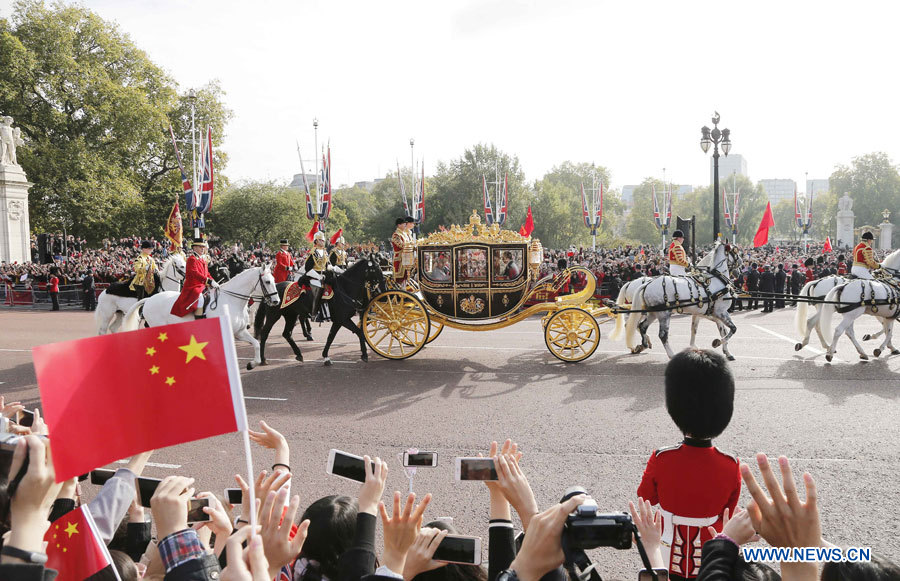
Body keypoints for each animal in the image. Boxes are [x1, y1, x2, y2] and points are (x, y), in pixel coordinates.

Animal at [121, 266, 280, 370]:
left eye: (273, 279)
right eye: (267, 281)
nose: (276, 301)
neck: (230, 301)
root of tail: (150, 299)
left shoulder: (240, 332)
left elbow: (256, 343)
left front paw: (252, 364)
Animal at [251, 255, 384, 364]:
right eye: (376, 268)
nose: (381, 289)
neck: (344, 289)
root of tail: (272, 290)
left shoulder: (338, 320)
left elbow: (331, 337)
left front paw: (326, 356)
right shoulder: (343, 319)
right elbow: (359, 332)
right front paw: (364, 354)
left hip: (291, 316)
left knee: (287, 333)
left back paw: (299, 354)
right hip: (274, 315)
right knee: (264, 333)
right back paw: (263, 359)